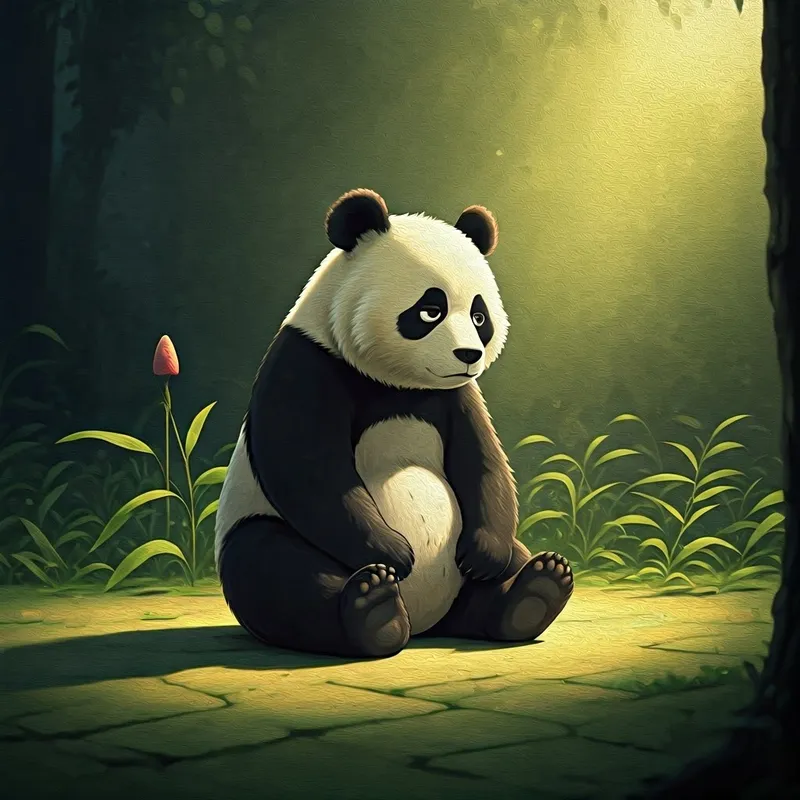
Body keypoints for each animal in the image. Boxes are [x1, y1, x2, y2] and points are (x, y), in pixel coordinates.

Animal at [215, 189, 574, 658]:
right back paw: (373, 609)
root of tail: (422, 624)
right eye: (430, 310)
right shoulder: (307, 363)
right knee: (271, 569)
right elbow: (308, 470)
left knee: (501, 573)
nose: (469, 355)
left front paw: (485, 556)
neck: (397, 384)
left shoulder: (454, 395)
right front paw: (395, 552)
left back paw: (535, 590)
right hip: (261, 531)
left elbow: (483, 462)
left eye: (479, 316)